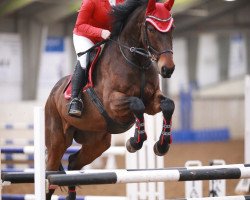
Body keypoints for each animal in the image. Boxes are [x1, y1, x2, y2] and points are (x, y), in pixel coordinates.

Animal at [45, 0, 175, 198]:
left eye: (172, 28)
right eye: (151, 29)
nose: (168, 69)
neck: (136, 61)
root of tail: (52, 94)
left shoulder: (152, 102)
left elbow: (168, 105)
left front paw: (161, 146)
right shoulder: (113, 103)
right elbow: (137, 105)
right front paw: (134, 142)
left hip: (97, 143)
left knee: (74, 162)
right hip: (57, 142)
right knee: (50, 175)